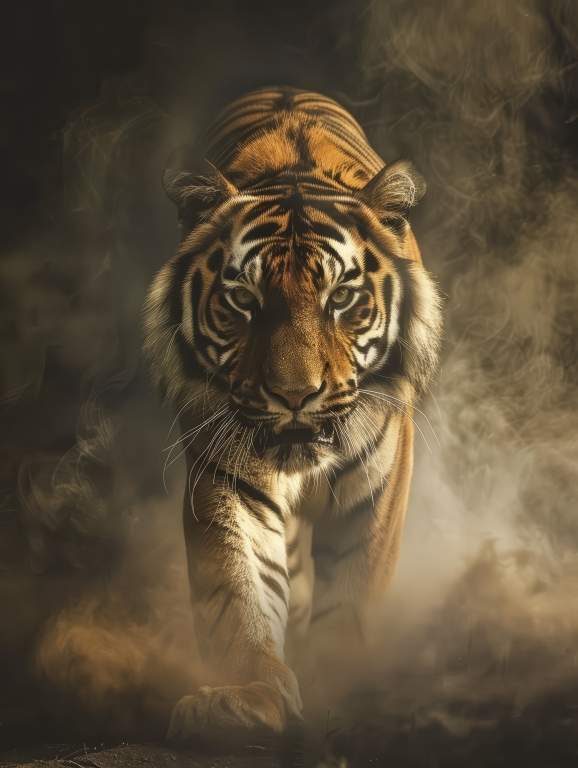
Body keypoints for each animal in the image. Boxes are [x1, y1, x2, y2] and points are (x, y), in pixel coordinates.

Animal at [143, 86, 442, 737]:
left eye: (342, 298)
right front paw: (243, 696)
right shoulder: (225, 473)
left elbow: (352, 592)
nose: (295, 394)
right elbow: (240, 586)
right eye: (243, 300)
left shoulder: (378, 486)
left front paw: (339, 685)